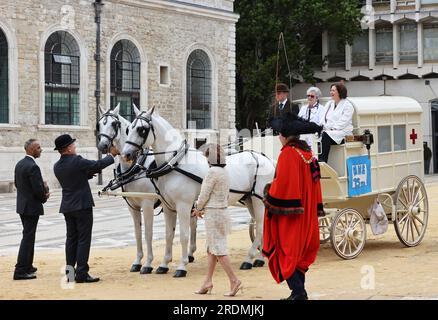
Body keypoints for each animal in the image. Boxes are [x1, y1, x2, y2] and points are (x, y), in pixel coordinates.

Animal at [97, 104, 198, 276]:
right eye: (99, 124)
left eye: (114, 124)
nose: (102, 146)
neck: (136, 167)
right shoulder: (133, 207)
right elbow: (138, 234)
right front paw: (138, 261)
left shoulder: (148, 204)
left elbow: (148, 233)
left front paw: (148, 263)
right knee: (192, 222)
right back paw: (190, 254)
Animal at [121, 106, 276, 276]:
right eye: (129, 129)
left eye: (142, 129)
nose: (126, 154)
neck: (176, 163)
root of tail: (265, 158)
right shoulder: (168, 207)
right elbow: (169, 235)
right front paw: (164, 264)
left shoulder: (183, 205)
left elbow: (183, 235)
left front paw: (182, 266)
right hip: (249, 199)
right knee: (262, 226)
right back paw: (260, 258)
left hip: (258, 201)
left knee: (260, 227)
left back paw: (249, 259)